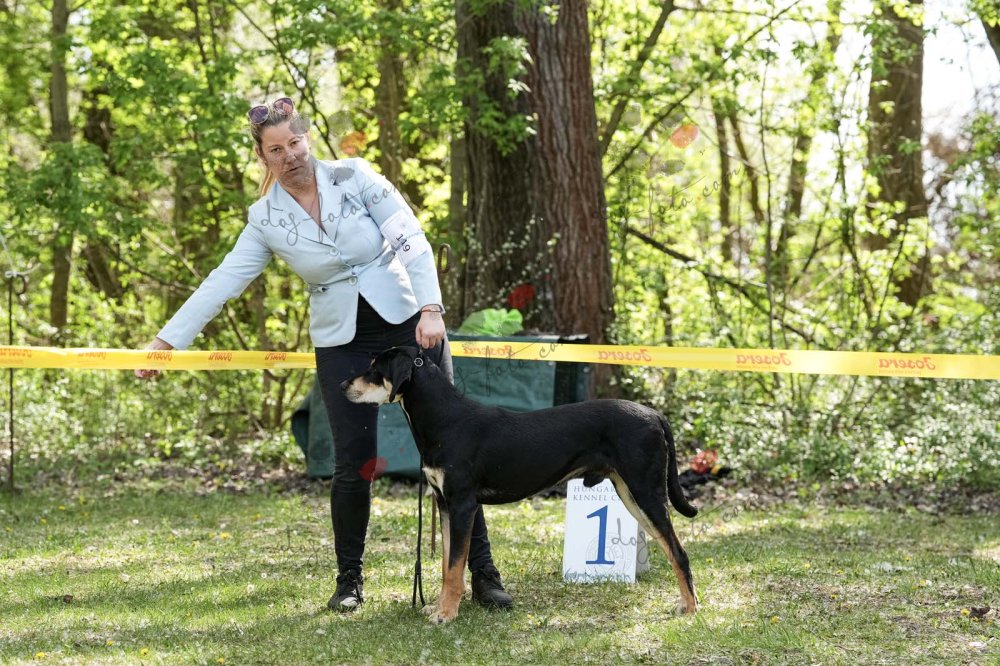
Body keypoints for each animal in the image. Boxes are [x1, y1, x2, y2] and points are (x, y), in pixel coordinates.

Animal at [341, 346, 698, 624]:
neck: (444, 420)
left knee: (679, 553)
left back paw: (691, 609)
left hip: (645, 492)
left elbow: (455, 567)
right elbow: (446, 566)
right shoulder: (444, 504)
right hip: (631, 495)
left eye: (374, 369)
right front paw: (439, 608)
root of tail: (655, 414)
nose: (343, 384)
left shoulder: (463, 505)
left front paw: (446, 614)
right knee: (672, 550)